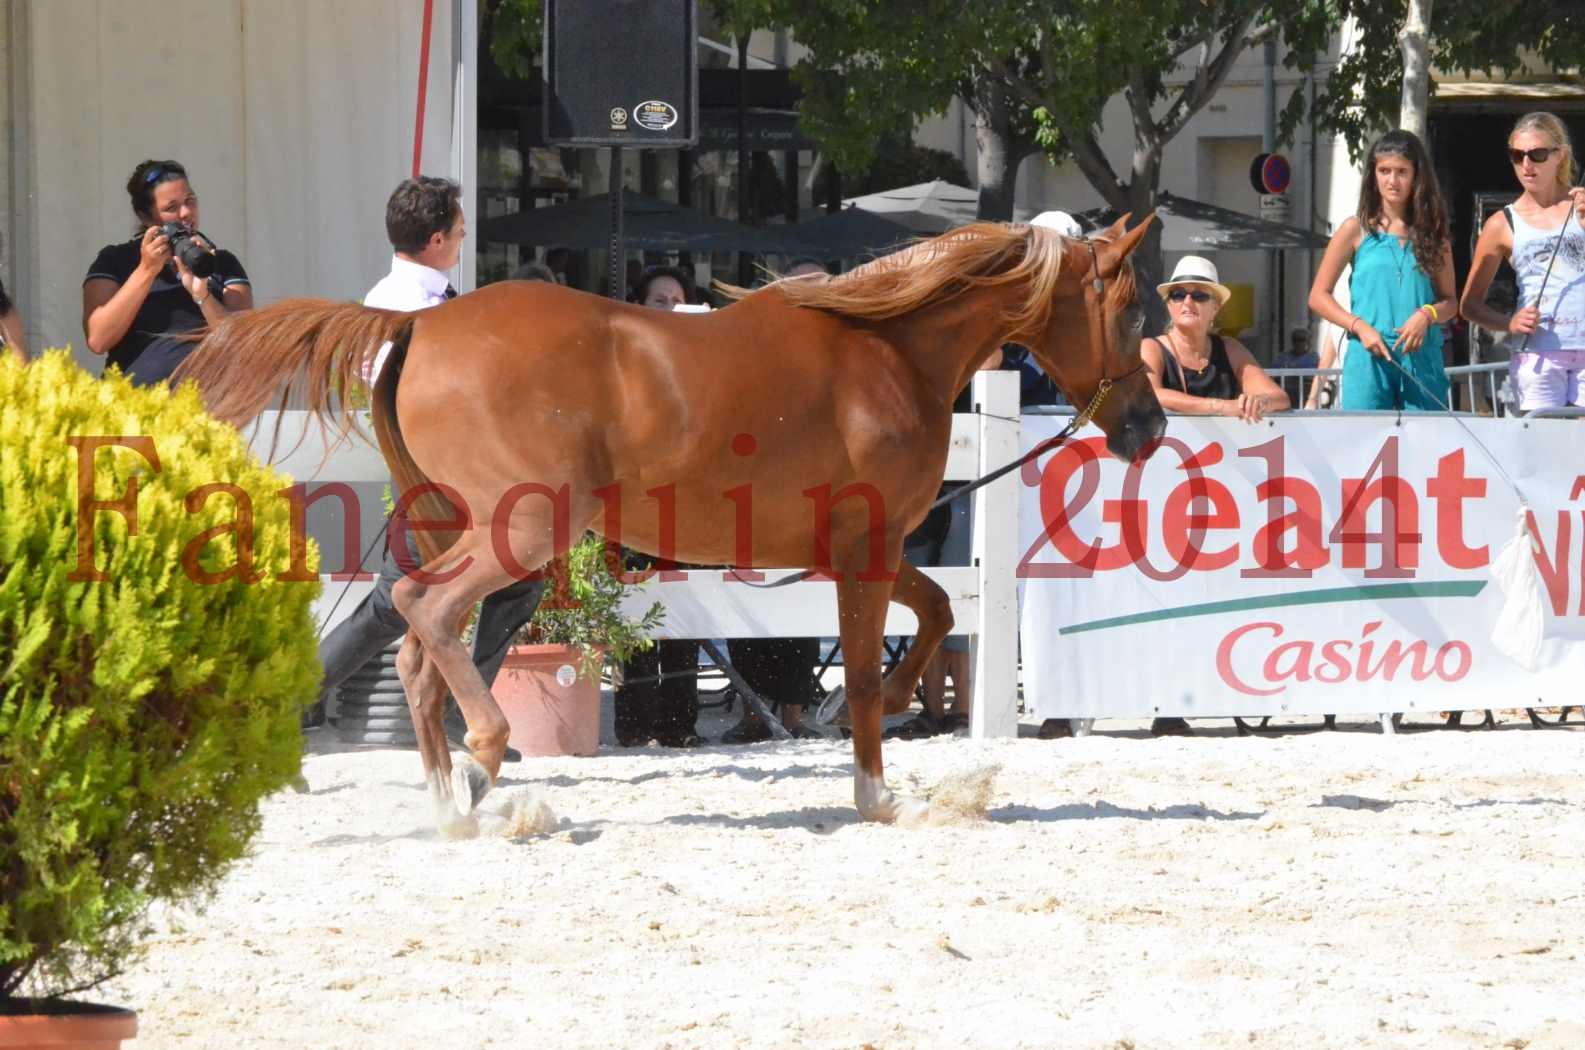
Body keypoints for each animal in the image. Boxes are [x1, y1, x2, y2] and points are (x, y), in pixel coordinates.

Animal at [179, 217, 1166, 837]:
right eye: (1128, 312)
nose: (1148, 428)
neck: (888, 352)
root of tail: (416, 326)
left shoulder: (855, 551)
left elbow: (934, 616)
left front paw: (884, 710)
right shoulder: (869, 547)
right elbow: (874, 655)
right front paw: (877, 791)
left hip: (469, 529)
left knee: (420, 652)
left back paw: (453, 802)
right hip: (520, 531)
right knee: (424, 611)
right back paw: (486, 756)